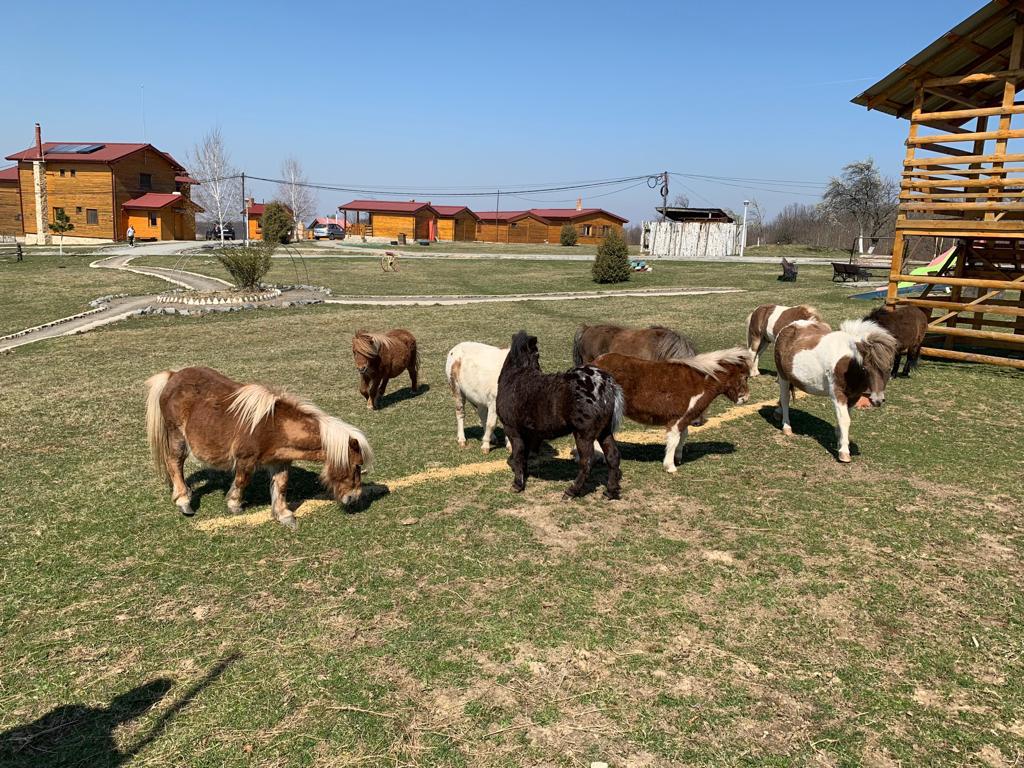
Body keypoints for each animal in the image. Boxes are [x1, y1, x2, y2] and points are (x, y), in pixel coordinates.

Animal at [146, 368, 374, 528]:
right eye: (356, 465)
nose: (354, 498)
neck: (275, 426)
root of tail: (173, 376)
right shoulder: (245, 460)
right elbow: (242, 480)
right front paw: (234, 505)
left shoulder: (280, 461)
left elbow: (281, 486)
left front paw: (284, 515)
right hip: (177, 437)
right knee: (174, 464)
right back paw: (184, 501)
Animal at [495, 331, 622, 501]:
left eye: (537, 354)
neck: (514, 379)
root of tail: (606, 385)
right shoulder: (527, 433)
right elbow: (524, 455)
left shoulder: (512, 430)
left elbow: (518, 454)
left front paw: (517, 484)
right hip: (604, 432)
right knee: (613, 456)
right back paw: (610, 491)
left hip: (584, 434)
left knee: (587, 462)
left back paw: (572, 490)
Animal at [593, 348, 753, 475]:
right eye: (745, 377)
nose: (745, 398)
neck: (700, 383)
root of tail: (597, 363)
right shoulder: (676, 419)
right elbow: (674, 440)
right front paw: (670, 466)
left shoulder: (685, 418)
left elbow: (683, 436)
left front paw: (678, 458)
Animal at [774, 319, 897, 462]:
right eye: (865, 368)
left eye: (889, 368)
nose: (877, 400)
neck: (850, 363)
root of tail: (789, 327)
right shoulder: (837, 394)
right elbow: (844, 419)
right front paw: (844, 452)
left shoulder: (853, 396)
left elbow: (845, 418)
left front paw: (840, 441)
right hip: (783, 376)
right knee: (785, 399)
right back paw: (787, 427)